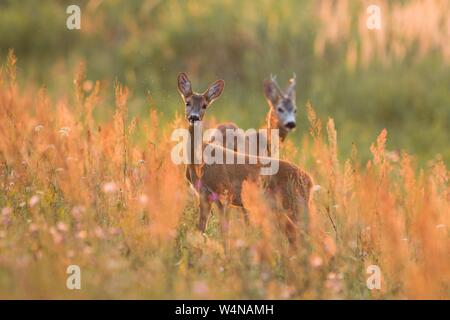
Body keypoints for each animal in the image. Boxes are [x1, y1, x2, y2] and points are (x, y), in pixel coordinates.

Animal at [177, 72, 312, 245]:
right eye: (187, 102)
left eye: (205, 105)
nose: (193, 117)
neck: (201, 162)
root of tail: (309, 180)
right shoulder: (205, 195)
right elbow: (201, 229)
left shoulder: (225, 192)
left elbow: (223, 231)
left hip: (296, 204)